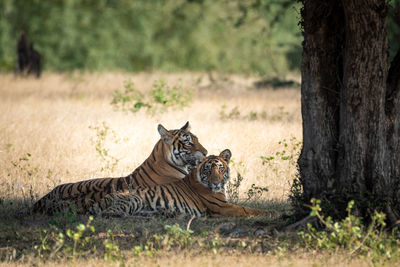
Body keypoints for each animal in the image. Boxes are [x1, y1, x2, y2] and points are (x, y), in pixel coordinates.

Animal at [92, 150, 276, 219]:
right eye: (208, 169)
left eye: (221, 168)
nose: (216, 182)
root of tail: (103, 198)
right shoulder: (221, 207)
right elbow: (248, 210)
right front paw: (271, 213)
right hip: (132, 199)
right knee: (111, 214)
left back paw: (166, 213)